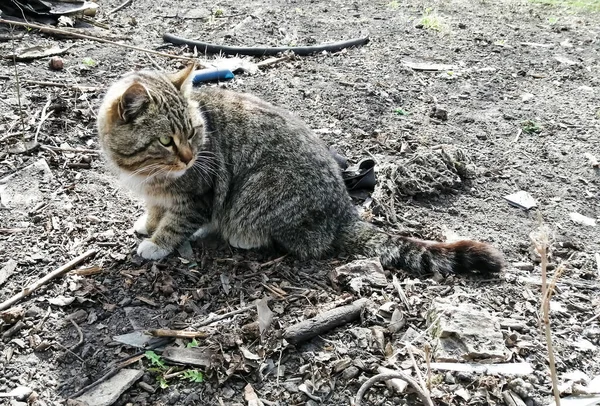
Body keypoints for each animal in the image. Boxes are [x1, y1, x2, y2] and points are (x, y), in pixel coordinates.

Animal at [97, 64, 502, 276]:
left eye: (194, 132)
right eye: (167, 140)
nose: (190, 157)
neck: (145, 171)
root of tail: (343, 211)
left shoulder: (198, 194)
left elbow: (176, 221)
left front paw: (158, 242)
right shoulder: (157, 192)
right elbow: (156, 209)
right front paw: (149, 223)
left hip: (263, 189)